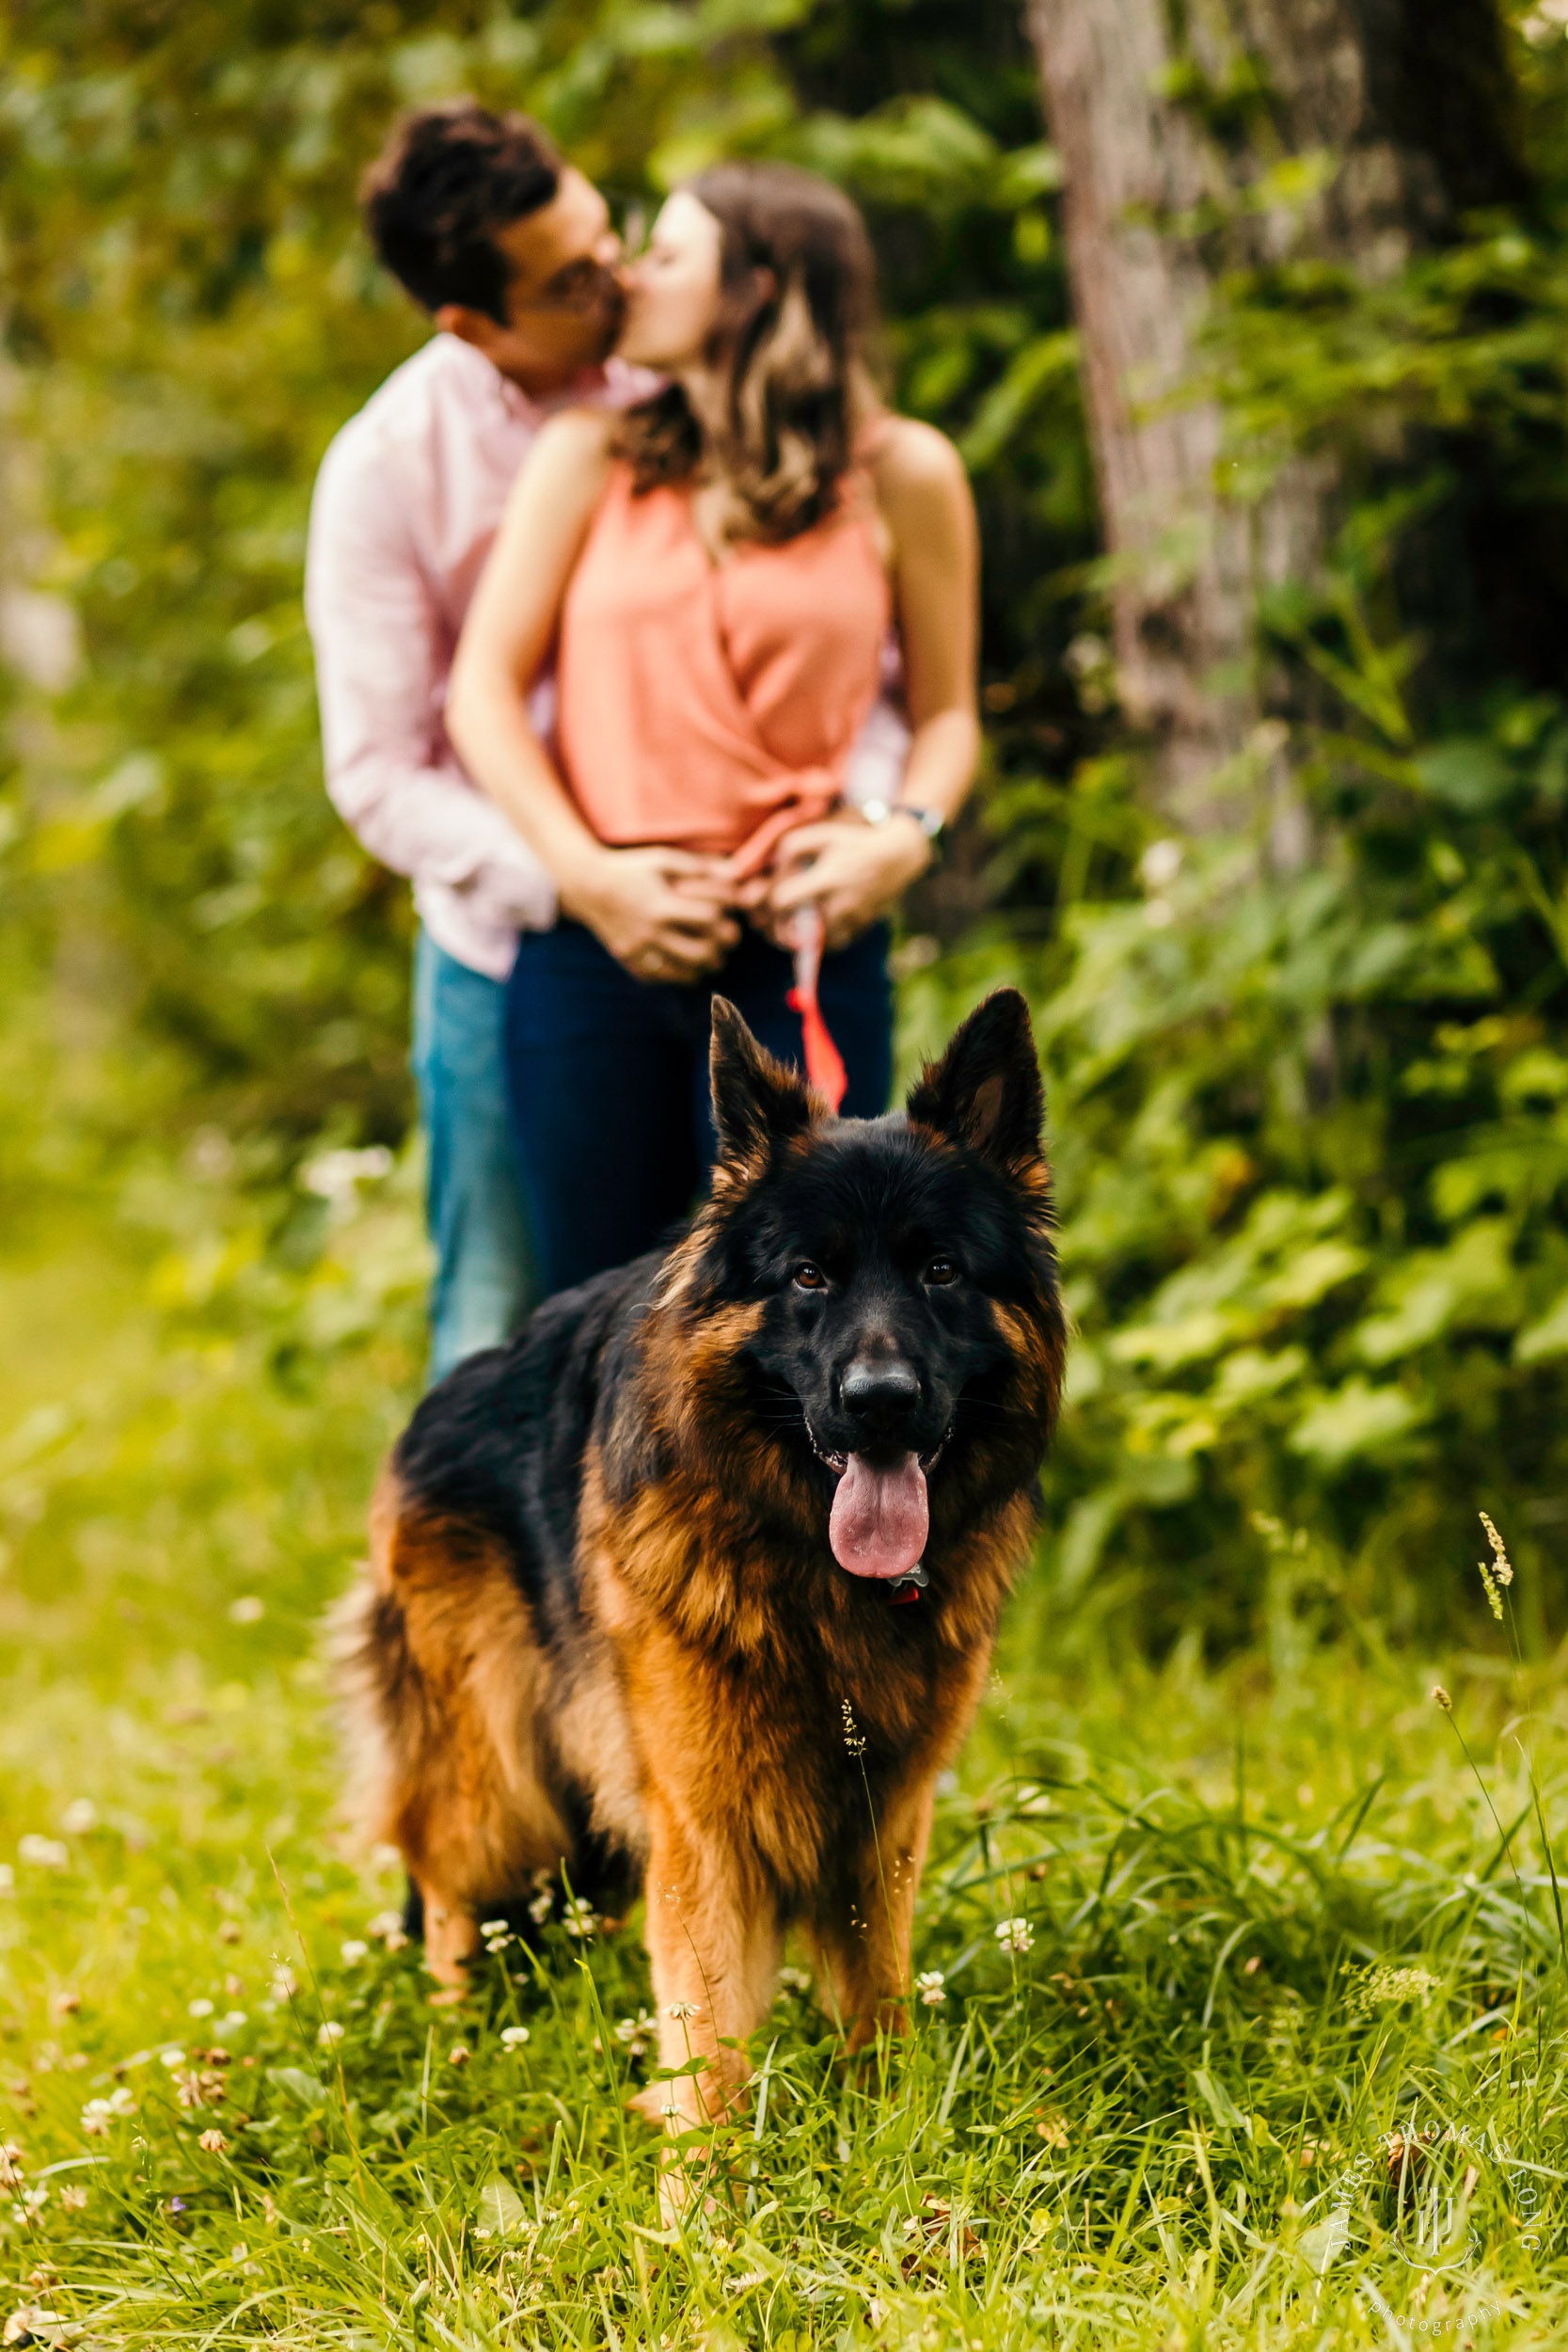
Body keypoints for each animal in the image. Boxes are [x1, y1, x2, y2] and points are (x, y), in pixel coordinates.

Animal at [333, 983, 1067, 2173]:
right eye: (808, 1276)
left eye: (941, 1271)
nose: (878, 1403)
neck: (816, 1579)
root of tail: (442, 1398)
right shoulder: (703, 1826)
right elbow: (706, 2052)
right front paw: (705, 2208)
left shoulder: (880, 1818)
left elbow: (874, 2005)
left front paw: (887, 2143)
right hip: (491, 1771)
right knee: (451, 1895)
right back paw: (458, 2044)